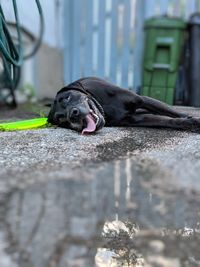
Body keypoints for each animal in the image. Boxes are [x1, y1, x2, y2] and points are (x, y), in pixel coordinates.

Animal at [47, 77, 200, 136]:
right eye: (61, 119)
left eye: (67, 97)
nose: (73, 114)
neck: (105, 107)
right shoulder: (136, 119)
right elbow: (166, 120)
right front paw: (190, 123)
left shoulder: (141, 100)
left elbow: (172, 112)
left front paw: (193, 119)